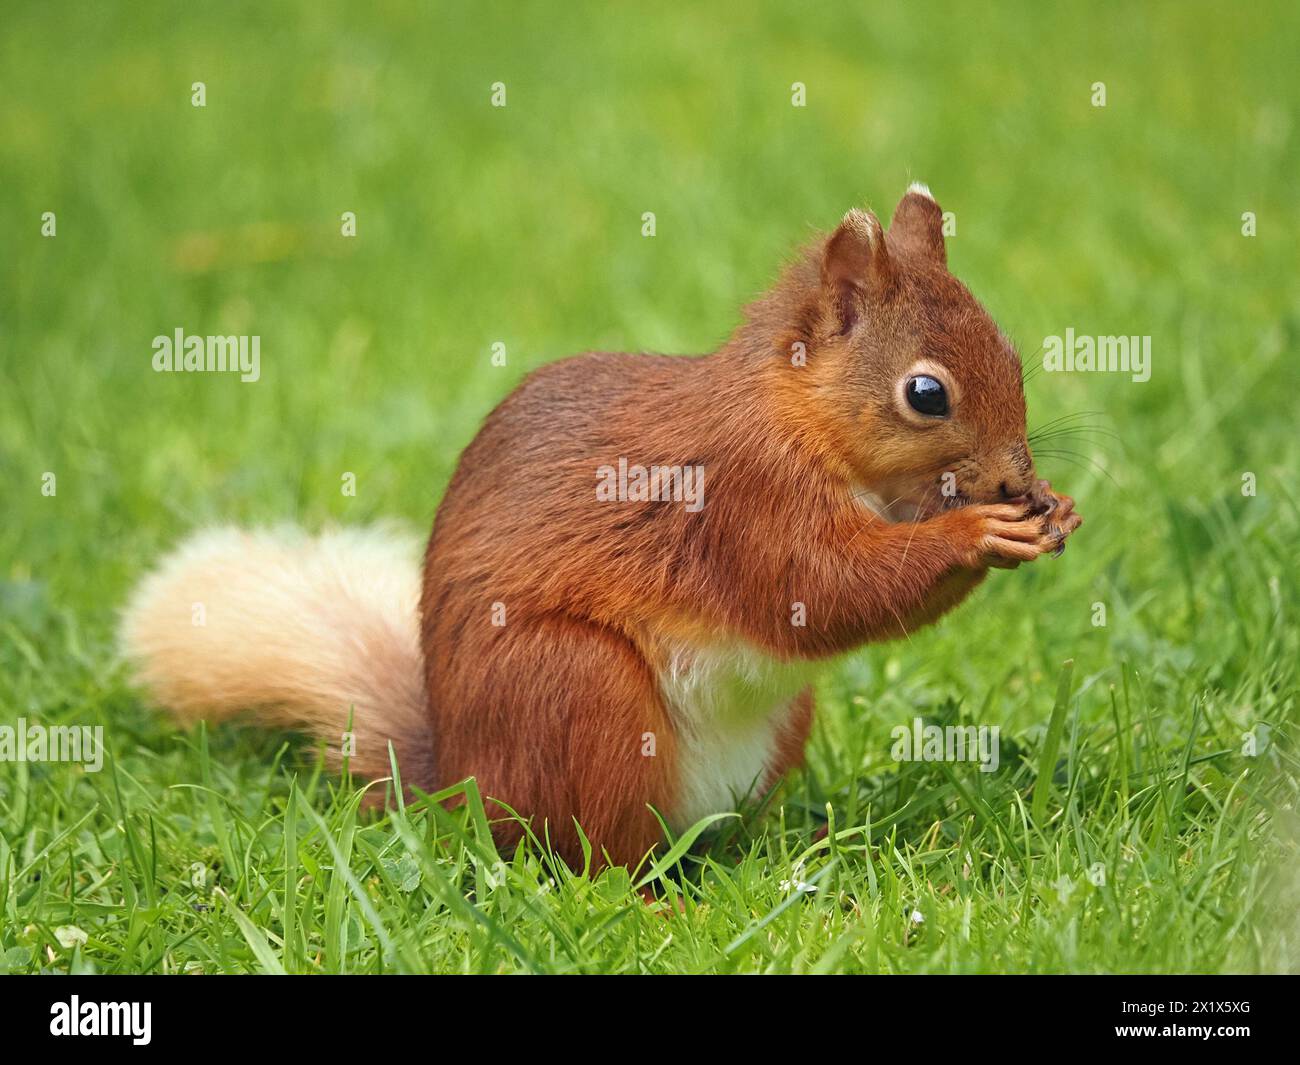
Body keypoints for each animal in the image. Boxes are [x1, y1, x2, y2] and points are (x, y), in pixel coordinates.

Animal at [124, 189, 1076, 873]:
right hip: (578, 688)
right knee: (593, 858)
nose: (1014, 478)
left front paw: (1051, 508)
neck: (798, 416)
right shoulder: (744, 500)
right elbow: (823, 589)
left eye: (1012, 353)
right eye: (927, 393)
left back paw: (784, 847)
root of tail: (461, 784)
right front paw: (978, 531)